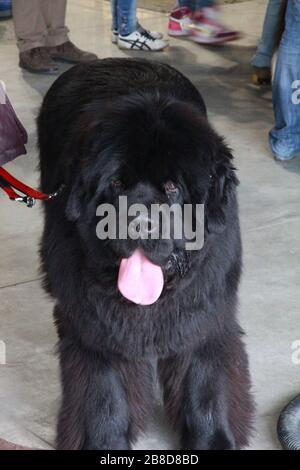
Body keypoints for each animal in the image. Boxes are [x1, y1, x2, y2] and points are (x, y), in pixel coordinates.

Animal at [37, 58, 253, 452]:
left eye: (172, 187)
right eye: (116, 183)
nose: (139, 223)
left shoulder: (202, 316)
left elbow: (204, 388)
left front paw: (213, 440)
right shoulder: (97, 328)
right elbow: (105, 395)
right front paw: (104, 443)